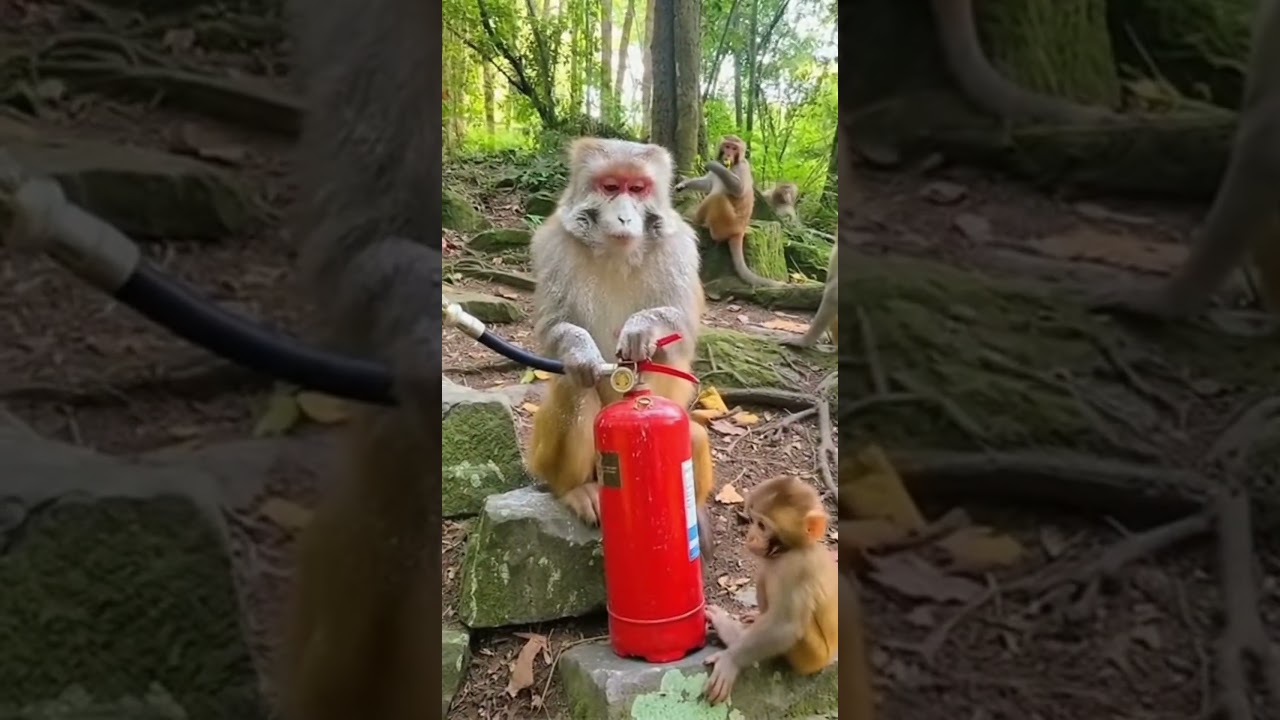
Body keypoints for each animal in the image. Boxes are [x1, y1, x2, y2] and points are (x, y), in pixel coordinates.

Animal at [526, 137, 718, 559]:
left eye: (638, 189)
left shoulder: (680, 248)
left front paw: (643, 328)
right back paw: (575, 489)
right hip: (543, 456)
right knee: (575, 390)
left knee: (695, 435)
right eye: (611, 187)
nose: (626, 218)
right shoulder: (552, 243)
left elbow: (682, 329)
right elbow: (551, 328)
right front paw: (580, 349)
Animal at [675, 135, 785, 288]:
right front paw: (683, 184)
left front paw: (715, 165)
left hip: (727, 222)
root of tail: (740, 231)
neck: (732, 165)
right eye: (727, 146)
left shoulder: (742, 167)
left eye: (734, 148)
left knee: (717, 197)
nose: (728, 155)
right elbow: (707, 184)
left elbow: (739, 189)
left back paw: (696, 221)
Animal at [702, 476, 838, 705]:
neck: (790, 550)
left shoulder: (796, 568)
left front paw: (731, 658)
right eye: (753, 521)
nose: (750, 536)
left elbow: (784, 625)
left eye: (762, 526)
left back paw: (735, 634)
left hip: (813, 656)